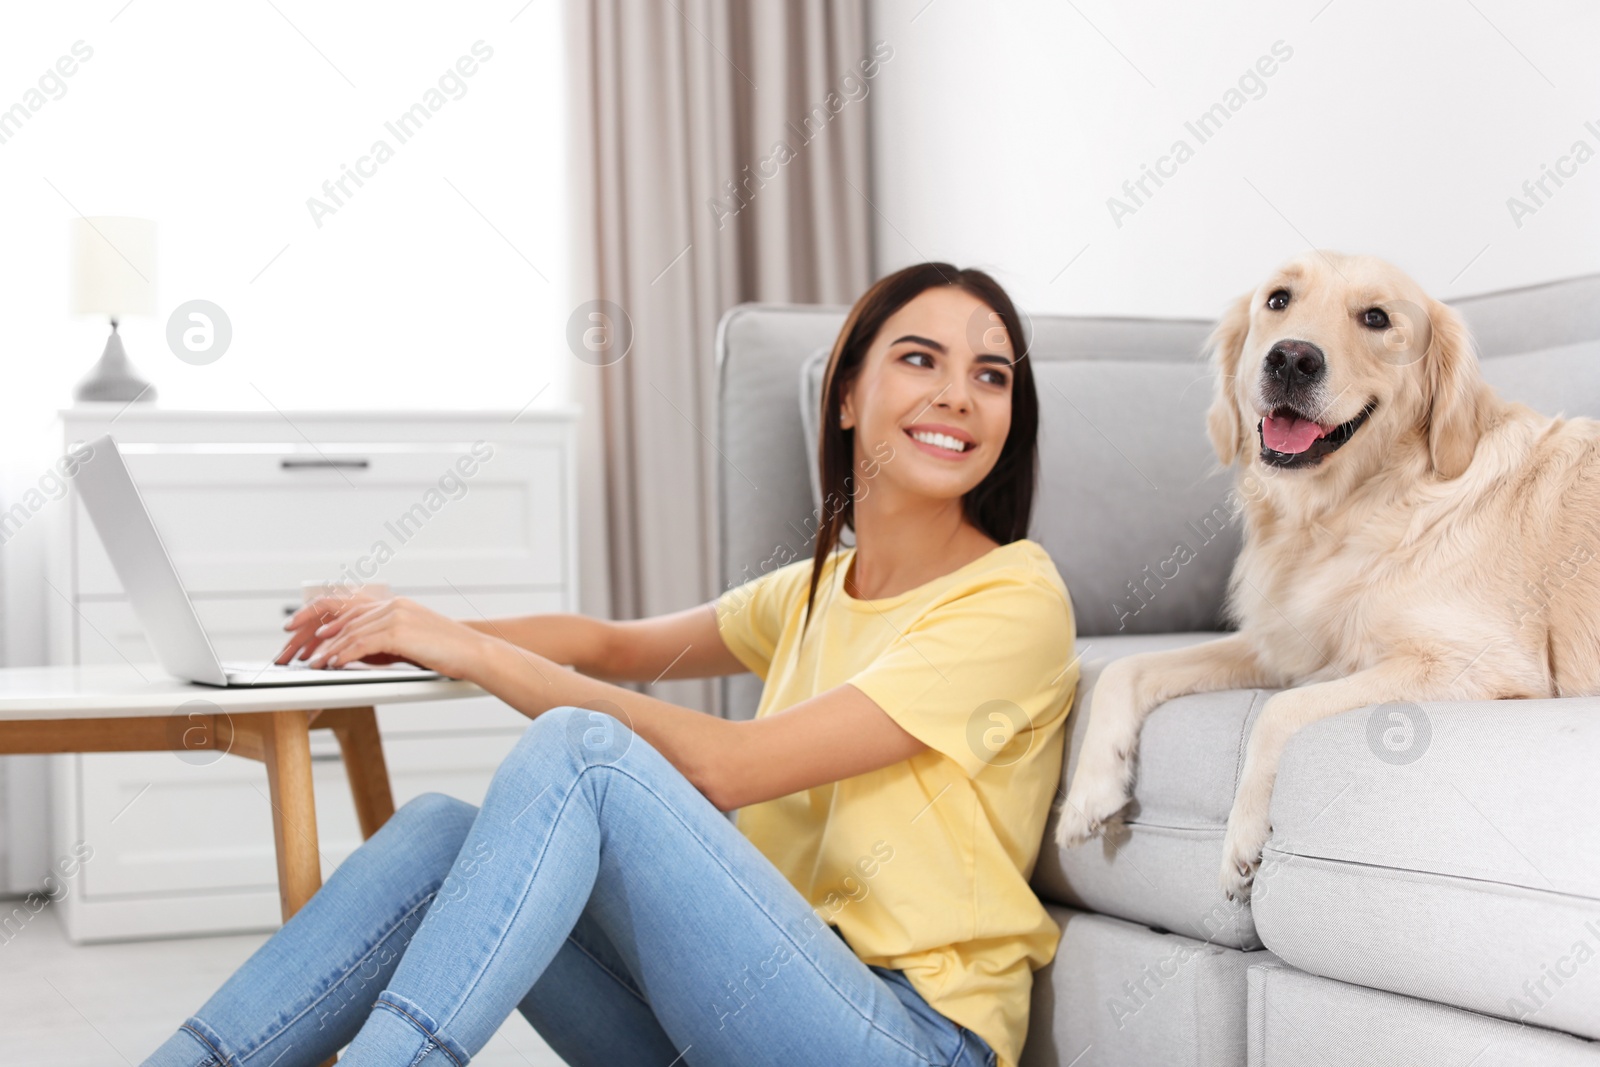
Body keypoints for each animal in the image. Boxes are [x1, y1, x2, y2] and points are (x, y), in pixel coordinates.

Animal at [1056, 247, 1593, 902]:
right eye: (1278, 300)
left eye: (1377, 317)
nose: (1291, 357)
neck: (1343, 510)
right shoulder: (1285, 643)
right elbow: (1126, 669)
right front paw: (1089, 792)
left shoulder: (1476, 662)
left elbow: (1278, 711)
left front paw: (1242, 840)